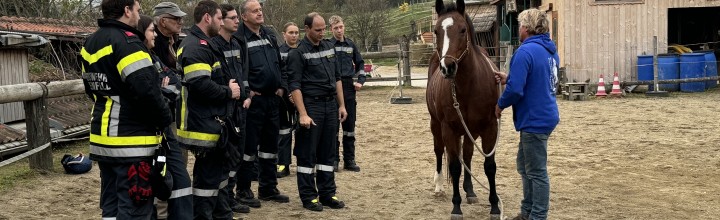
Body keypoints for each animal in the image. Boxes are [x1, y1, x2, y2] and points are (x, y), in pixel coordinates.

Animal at [428, 0, 500, 219]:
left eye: (462, 30)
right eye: (436, 31)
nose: (448, 67)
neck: (468, 85)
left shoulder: (490, 127)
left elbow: (489, 166)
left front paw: (495, 207)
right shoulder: (449, 129)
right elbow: (454, 166)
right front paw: (456, 207)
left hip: (470, 131)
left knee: (467, 154)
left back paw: (470, 190)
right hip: (435, 125)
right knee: (439, 151)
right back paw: (439, 186)